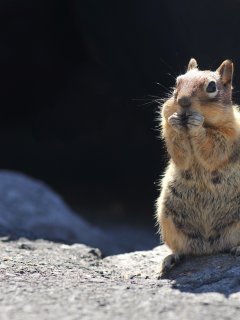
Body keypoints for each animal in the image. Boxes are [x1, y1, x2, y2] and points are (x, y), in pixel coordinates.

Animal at [156, 58, 240, 274]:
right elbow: (179, 152)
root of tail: (211, 247)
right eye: (177, 83)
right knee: (184, 250)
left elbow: (215, 147)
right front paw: (177, 122)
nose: (183, 102)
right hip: (168, 221)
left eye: (211, 86)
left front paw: (197, 125)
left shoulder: (230, 134)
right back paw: (171, 258)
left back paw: (238, 248)